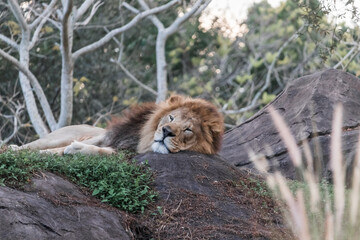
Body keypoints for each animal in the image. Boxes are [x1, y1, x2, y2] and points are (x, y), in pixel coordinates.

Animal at [11, 95, 224, 156]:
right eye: (171, 118)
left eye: (188, 130)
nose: (166, 131)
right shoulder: (110, 135)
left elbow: (103, 151)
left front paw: (77, 149)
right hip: (57, 136)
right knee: (33, 144)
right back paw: (14, 148)